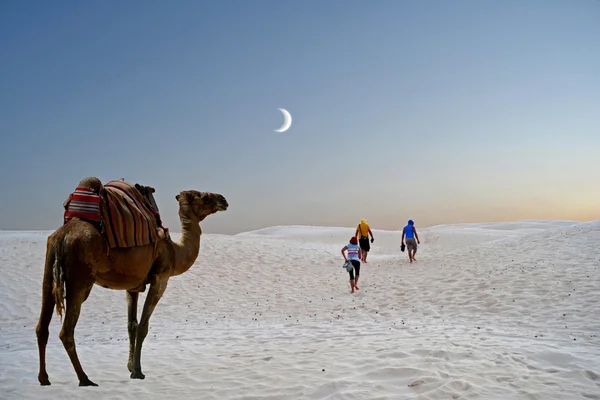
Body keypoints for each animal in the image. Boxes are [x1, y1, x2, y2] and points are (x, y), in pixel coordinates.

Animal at [34, 177, 229, 384]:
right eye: (204, 197)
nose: (223, 199)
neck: (174, 252)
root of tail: (63, 234)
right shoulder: (161, 278)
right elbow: (143, 326)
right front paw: (137, 371)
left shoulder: (132, 286)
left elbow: (131, 326)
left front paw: (129, 367)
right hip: (79, 277)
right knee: (66, 331)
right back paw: (85, 379)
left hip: (49, 265)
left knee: (42, 326)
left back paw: (44, 378)